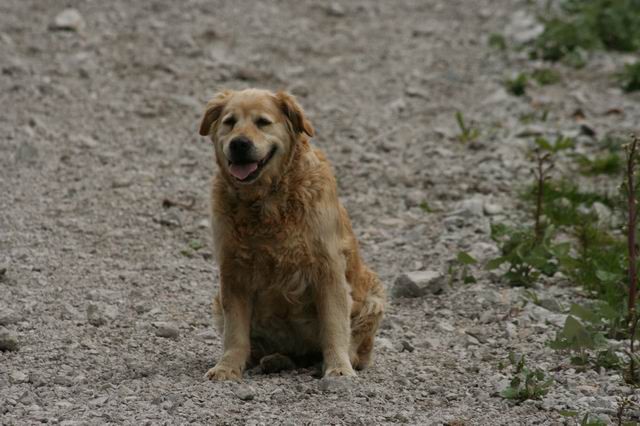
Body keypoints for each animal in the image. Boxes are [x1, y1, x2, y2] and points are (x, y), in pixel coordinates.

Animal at [198, 88, 384, 382]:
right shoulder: (233, 271)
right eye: (229, 122)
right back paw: (275, 359)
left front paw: (338, 368)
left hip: (374, 298)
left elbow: (334, 327)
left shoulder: (328, 270)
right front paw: (227, 367)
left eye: (263, 122)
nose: (239, 144)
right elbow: (235, 332)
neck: (267, 201)